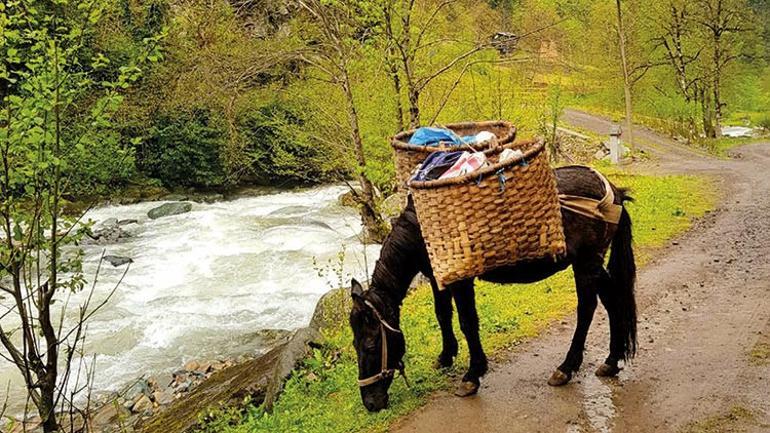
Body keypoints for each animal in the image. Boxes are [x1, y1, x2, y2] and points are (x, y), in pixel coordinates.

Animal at [350, 165, 636, 412]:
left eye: (371, 346)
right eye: (354, 344)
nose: (371, 403)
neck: (424, 230)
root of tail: (612, 190)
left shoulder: (461, 282)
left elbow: (467, 322)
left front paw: (472, 374)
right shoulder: (437, 279)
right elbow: (443, 315)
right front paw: (446, 356)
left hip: (586, 264)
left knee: (587, 309)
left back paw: (566, 367)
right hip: (593, 265)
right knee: (613, 300)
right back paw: (611, 361)